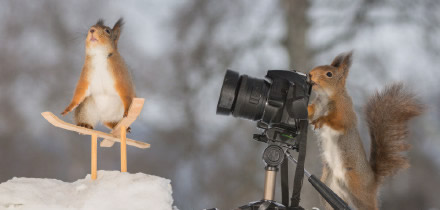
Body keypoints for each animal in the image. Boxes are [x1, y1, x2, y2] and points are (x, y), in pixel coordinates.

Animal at [306, 51, 422, 210]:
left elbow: (337, 122)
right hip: (328, 185)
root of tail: (373, 181)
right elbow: (310, 112)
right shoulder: (316, 107)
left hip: (357, 189)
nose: (310, 74)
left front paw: (321, 120)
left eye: (329, 74)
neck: (326, 97)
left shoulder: (345, 113)